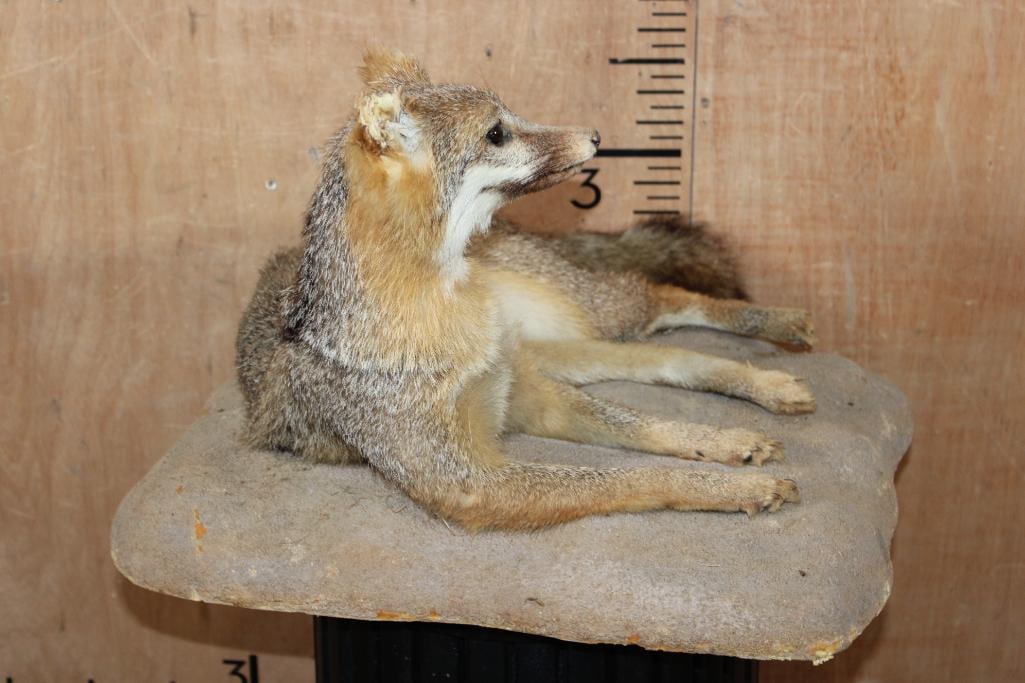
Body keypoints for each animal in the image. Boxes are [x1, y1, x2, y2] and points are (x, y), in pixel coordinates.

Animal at [236, 51, 816, 531]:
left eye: (510, 117)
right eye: (497, 134)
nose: (597, 136)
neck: (449, 303)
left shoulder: (524, 393)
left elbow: (641, 427)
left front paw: (720, 447)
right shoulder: (468, 477)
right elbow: (632, 474)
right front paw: (733, 485)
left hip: (591, 317)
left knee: (669, 302)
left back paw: (776, 349)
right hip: (562, 347)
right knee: (662, 352)